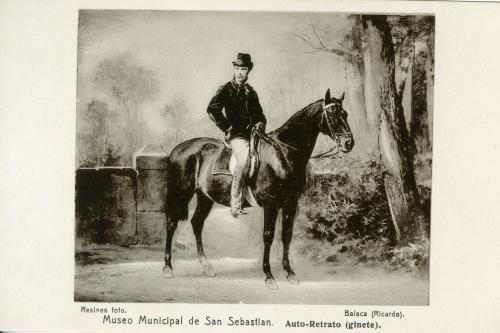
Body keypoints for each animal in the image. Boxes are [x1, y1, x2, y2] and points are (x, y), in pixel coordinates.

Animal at [162, 89, 354, 288]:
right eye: (332, 113)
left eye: (345, 114)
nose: (349, 143)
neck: (283, 155)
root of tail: (177, 149)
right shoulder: (271, 204)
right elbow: (268, 236)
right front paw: (269, 275)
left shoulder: (291, 203)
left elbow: (286, 235)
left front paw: (289, 273)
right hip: (180, 193)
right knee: (171, 223)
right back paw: (168, 268)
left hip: (205, 197)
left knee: (197, 223)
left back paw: (207, 267)